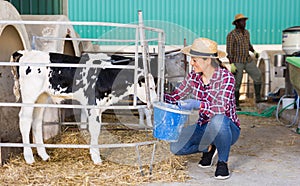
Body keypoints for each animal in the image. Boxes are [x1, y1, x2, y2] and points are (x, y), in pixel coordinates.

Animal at [10, 50, 157, 164]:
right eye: (150, 87)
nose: (155, 102)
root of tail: (25, 53)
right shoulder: (93, 105)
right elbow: (95, 129)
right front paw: (96, 157)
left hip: (42, 96)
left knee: (36, 121)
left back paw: (43, 155)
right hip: (30, 96)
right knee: (25, 120)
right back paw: (29, 157)